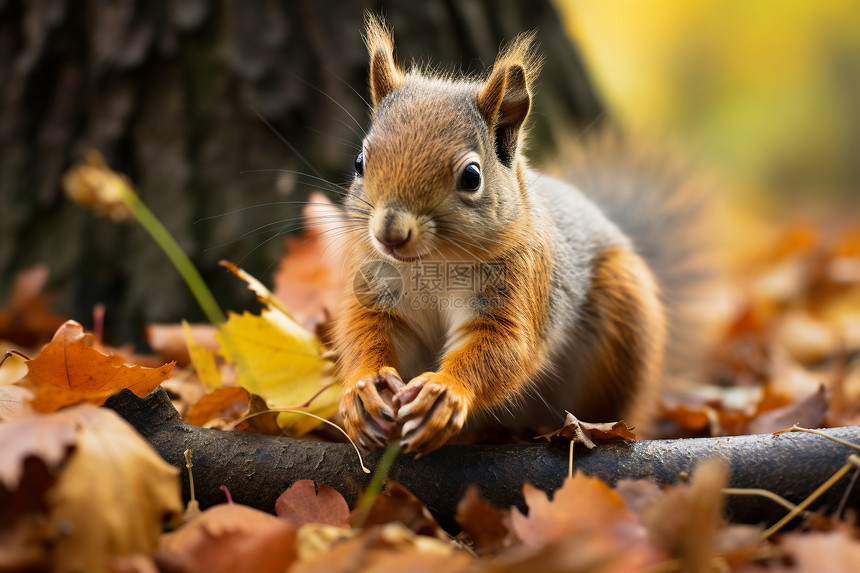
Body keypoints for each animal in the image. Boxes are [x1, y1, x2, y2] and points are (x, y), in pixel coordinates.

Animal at [330, 15, 704, 454]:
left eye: (471, 176)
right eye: (359, 162)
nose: (390, 232)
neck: (434, 264)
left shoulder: (523, 281)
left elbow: (506, 347)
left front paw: (443, 393)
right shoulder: (374, 284)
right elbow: (363, 330)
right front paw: (363, 390)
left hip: (627, 320)